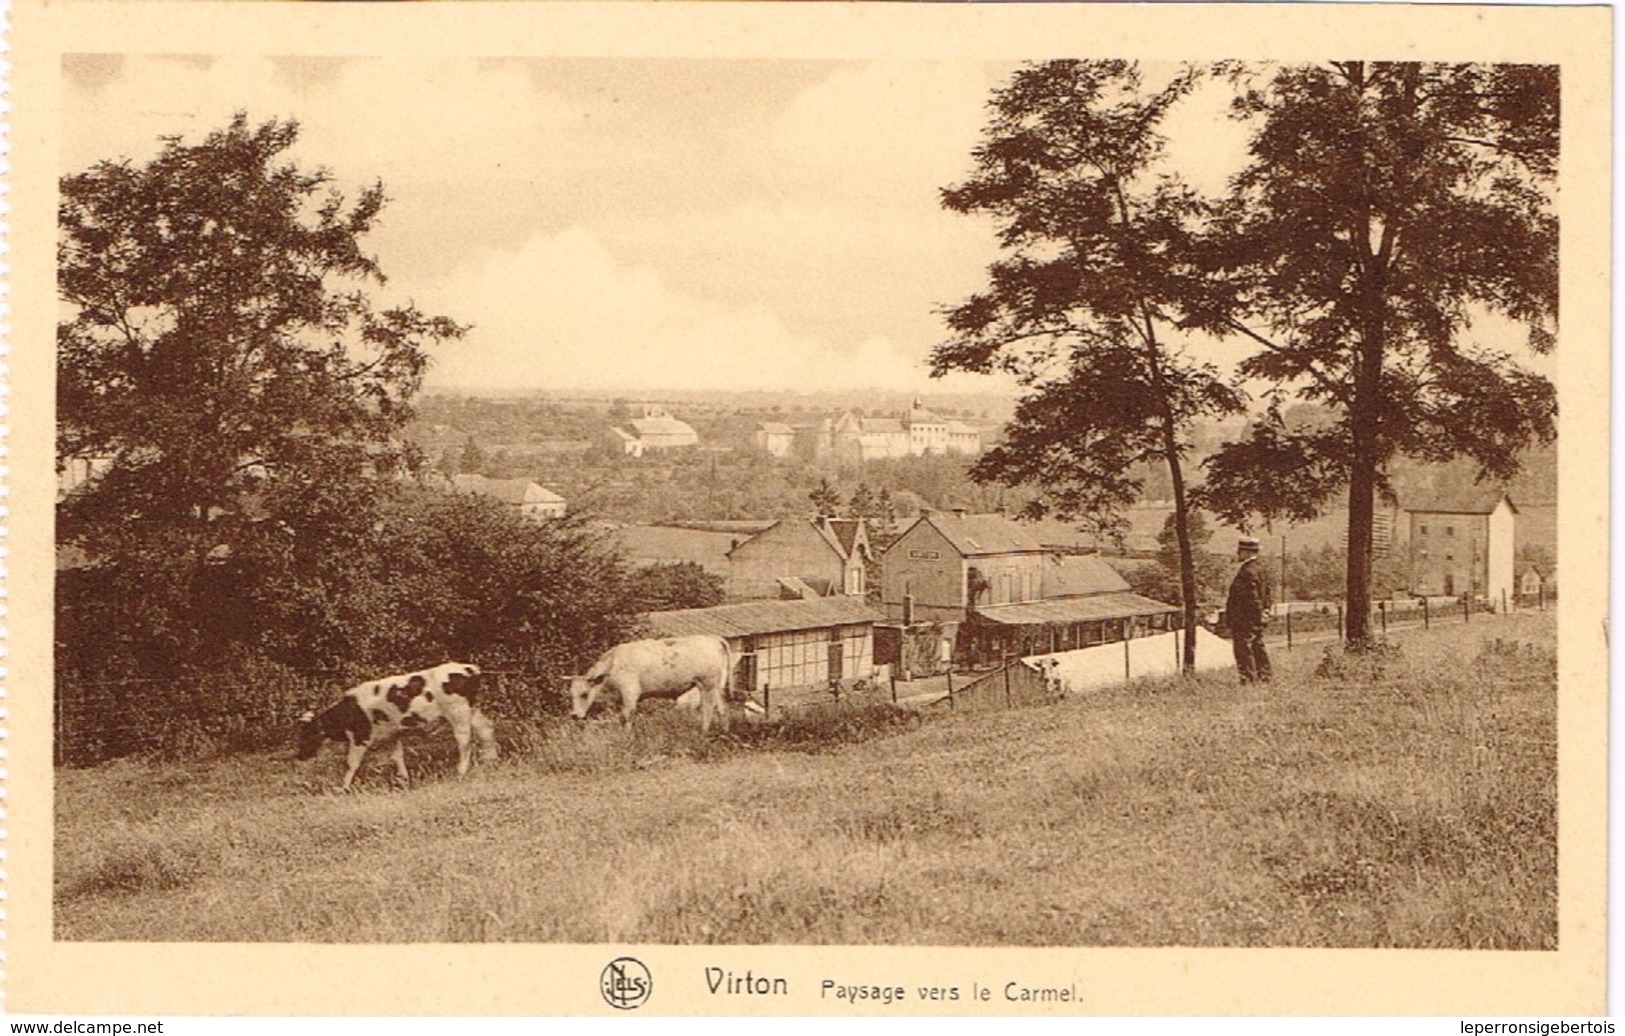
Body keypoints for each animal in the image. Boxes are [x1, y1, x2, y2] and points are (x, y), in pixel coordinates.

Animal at [294, 665, 490, 795]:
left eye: (308, 733)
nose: (300, 756)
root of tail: (469, 669)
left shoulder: (360, 737)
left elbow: (351, 763)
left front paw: (343, 788)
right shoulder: (392, 734)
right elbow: (397, 756)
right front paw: (403, 780)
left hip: (458, 714)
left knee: (465, 742)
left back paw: (461, 772)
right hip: (472, 711)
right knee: (486, 729)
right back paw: (491, 759)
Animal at [565, 636, 731, 733]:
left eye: (584, 694)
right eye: (571, 694)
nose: (574, 715)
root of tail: (712, 638)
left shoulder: (630, 693)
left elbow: (627, 715)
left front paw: (627, 737)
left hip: (706, 683)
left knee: (708, 708)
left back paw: (704, 732)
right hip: (717, 685)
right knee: (722, 707)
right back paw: (725, 731)